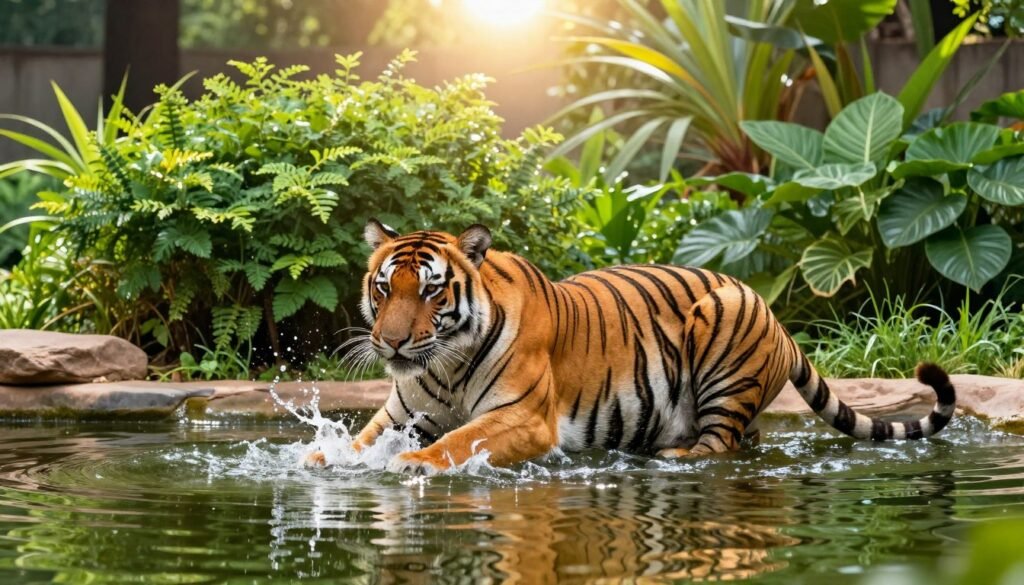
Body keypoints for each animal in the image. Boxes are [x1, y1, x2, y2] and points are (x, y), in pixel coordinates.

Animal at [308, 219, 956, 475]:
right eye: (384, 288)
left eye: (430, 291)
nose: (391, 341)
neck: (443, 363)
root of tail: (778, 320)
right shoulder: (400, 409)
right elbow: (360, 437)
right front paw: (319, 456)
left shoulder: (524, 417)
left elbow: (460, 440)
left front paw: (412, 462)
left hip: (723, 335)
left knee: (719, 444)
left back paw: (675, 456)